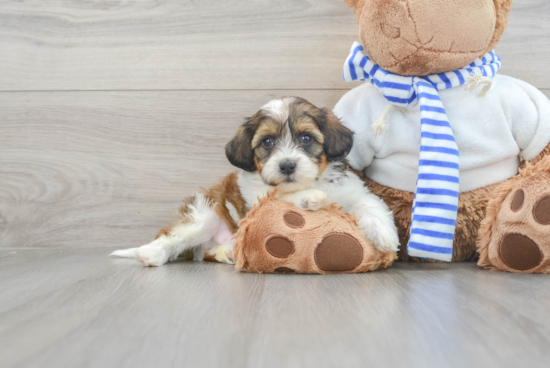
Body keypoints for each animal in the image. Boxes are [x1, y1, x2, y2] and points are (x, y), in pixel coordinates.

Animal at [111, 96, 402, 266]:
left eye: (306, 138)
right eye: (268, 142)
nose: (287, 165)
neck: (311, 182)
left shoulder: (351, 189)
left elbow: (369, 202)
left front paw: (385, 234)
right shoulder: (259, 198)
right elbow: (283, 197)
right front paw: (311, 199)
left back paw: (230, 251)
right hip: (204, 216)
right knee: (172, 236)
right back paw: (151, 253)